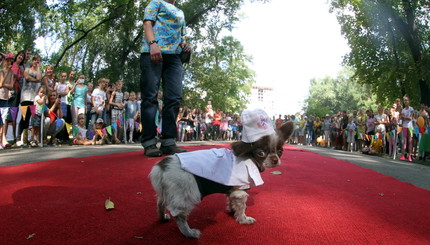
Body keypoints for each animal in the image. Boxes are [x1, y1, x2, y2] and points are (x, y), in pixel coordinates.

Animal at [149, 109, 294, 239]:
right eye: (261, 153)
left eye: (280, 151)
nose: (275, 159)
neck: (249, 157)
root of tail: (160, 167)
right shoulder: (240, 190)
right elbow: (242, 207)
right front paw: (243, 219)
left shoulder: (233, 189)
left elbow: (231, 200)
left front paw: (231, 211)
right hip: (186, 193)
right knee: (178, 215)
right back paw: (189, 233)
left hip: (167, 192)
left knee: (160, 203)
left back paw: (162, 218)